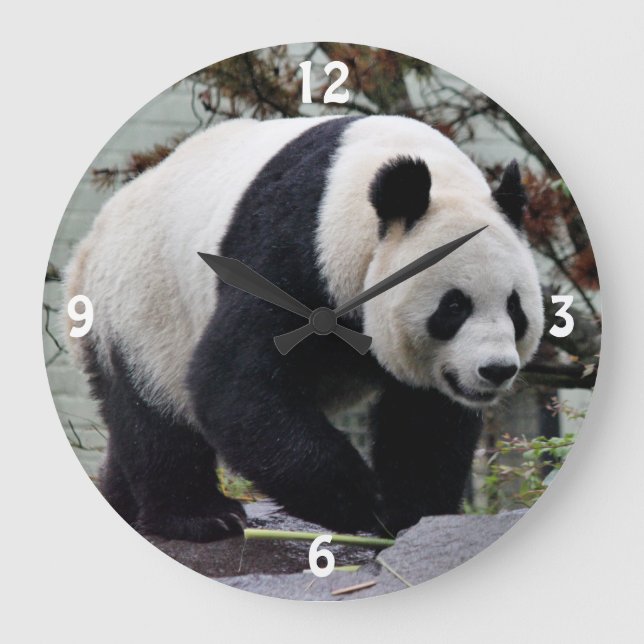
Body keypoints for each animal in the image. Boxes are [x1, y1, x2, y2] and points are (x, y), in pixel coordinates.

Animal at [64, 115, 544, 542]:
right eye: (454, 306)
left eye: (515, 308)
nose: (496, 370)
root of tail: (87, 249)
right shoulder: (287, 248)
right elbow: (234, 384)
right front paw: (363, 499)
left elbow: (425, 419)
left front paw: (412, 514)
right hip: (146, 303)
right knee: (157, 415)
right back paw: (201, 517)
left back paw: (124, 503)